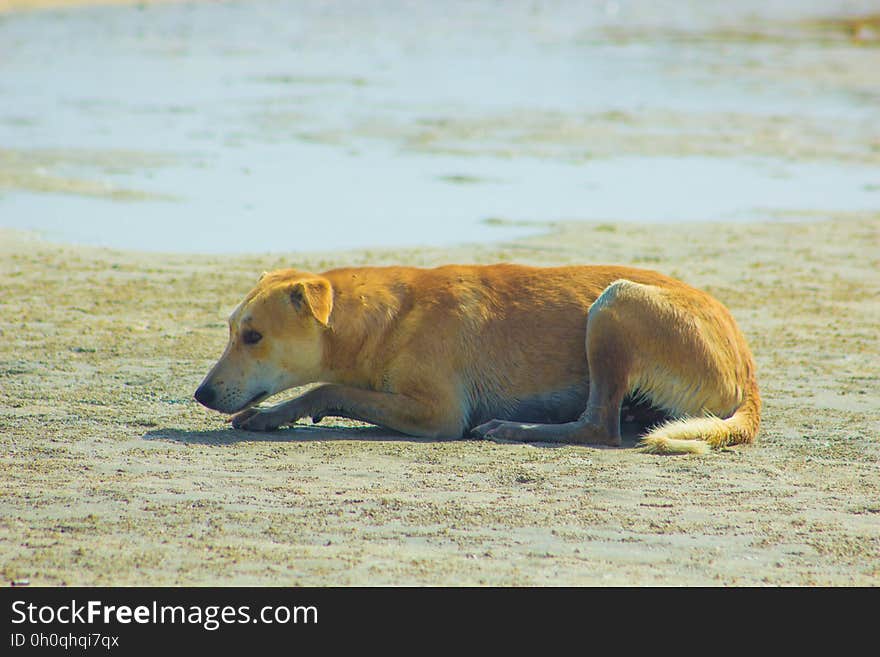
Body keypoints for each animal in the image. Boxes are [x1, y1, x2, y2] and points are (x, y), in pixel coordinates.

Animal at [196, 264, 760, 454]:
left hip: (613, 307)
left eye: (253, 336)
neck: (390, 316)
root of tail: (748, 371)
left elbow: (327, 387)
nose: (200, 395)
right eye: (230, 330)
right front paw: (274, 414)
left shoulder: (437, 413)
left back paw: (517, 429)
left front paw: (280, 412)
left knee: (598, 427)